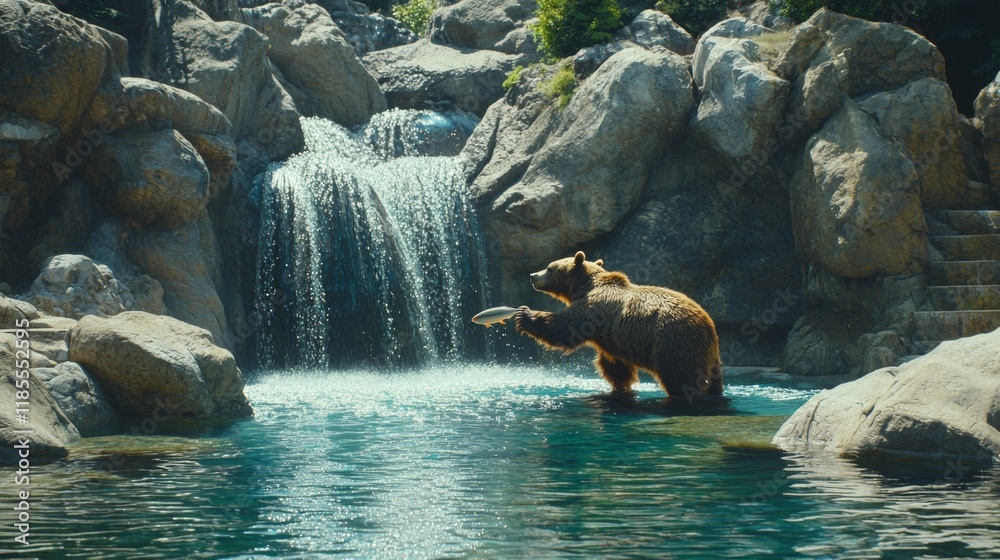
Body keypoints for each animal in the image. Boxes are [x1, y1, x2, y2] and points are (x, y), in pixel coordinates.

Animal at [514, 251, 723, 398]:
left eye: (550, 268)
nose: (532, 275)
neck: (584, 287)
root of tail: (709, 326)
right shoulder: (614, 338)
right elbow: (616, 366)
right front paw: (620, 386)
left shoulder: (594, 309)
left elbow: (566, 329)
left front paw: (524, 315)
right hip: (708, 357)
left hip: (674, 342)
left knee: (680, 377)